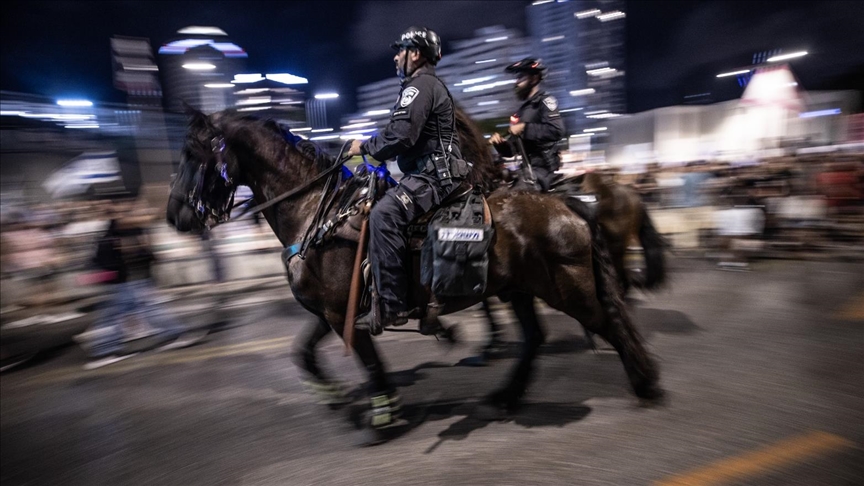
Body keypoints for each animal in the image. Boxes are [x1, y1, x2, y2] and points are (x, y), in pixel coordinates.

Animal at [164, 110, 660, 436]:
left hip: (568, 288)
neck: (314, 212)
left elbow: (369, 361)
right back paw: (505, 396)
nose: (174, 216)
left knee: (611, 322)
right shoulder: (330, 311)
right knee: (537, 338)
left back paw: (646, 383)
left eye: (192, 152)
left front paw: (384, 412)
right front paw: (335, 395)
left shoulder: (346, 313)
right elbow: (302, 352)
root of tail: (568, 202)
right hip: (520, 289)